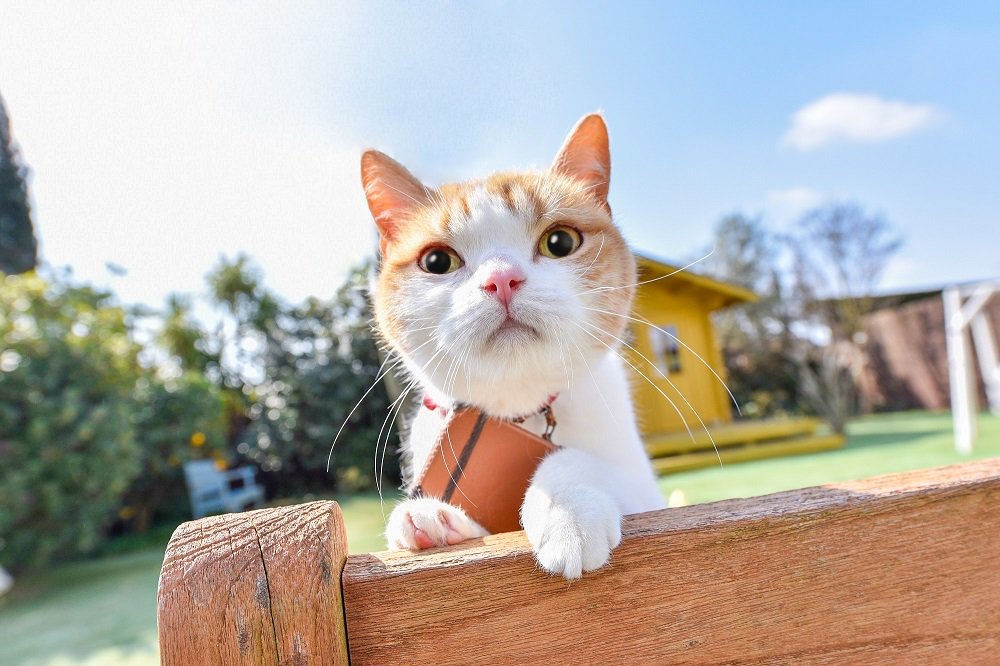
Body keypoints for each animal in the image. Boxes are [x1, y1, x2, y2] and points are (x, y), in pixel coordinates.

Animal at [360, 114, 664, 576]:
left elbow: (576, 460)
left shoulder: (647, 492)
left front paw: (567, 513)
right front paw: (433, 517)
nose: (501, 278)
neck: (519, 411)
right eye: (437, 261)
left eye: (560, 242)